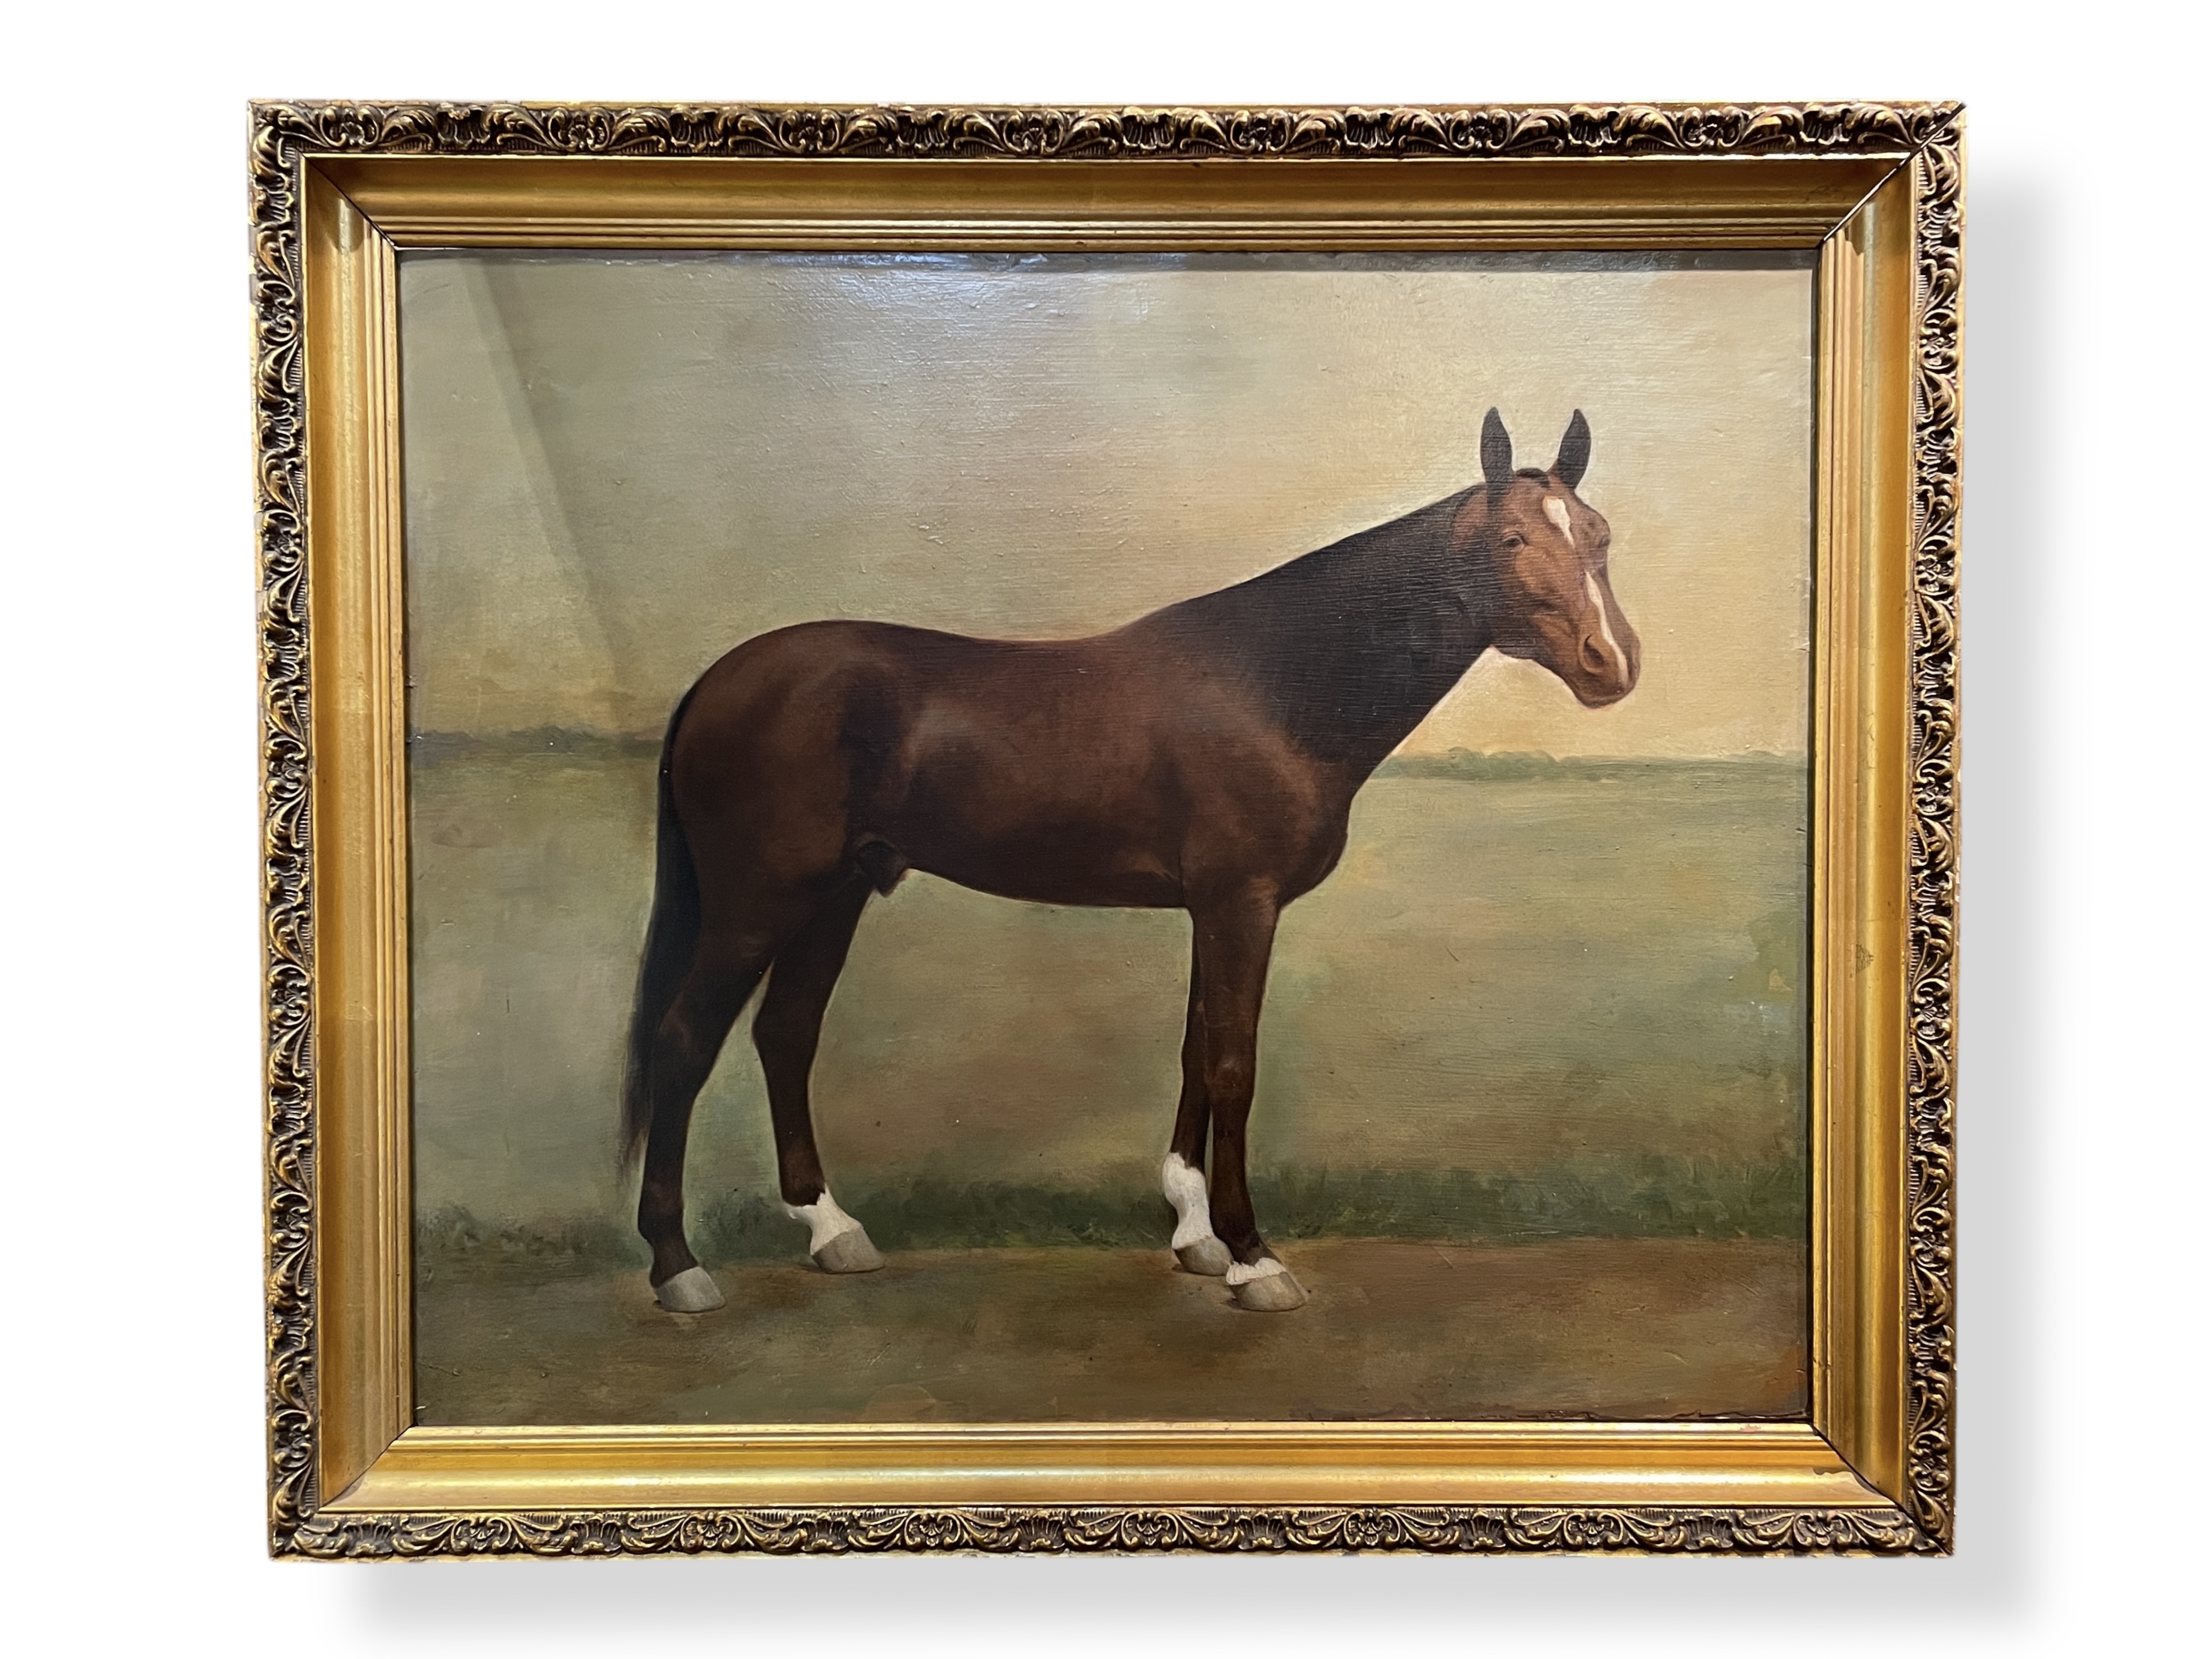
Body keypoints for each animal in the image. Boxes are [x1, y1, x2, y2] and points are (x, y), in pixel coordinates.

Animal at [621, 408, 1639, 1314]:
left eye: (1598, 535)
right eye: (1512, 537)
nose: (1611, 663)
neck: (1274, 684)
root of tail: (715, 682)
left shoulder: (1212, 908)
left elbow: (1193, 1050)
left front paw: (1193, 1235)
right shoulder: (1240, 903)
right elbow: (1232, 1065)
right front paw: (1252, 1257)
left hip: (835, 894)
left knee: (785, 1033)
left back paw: (832, 1231)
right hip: (756, 902)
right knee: (683, 1040)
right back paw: (677, 1266)